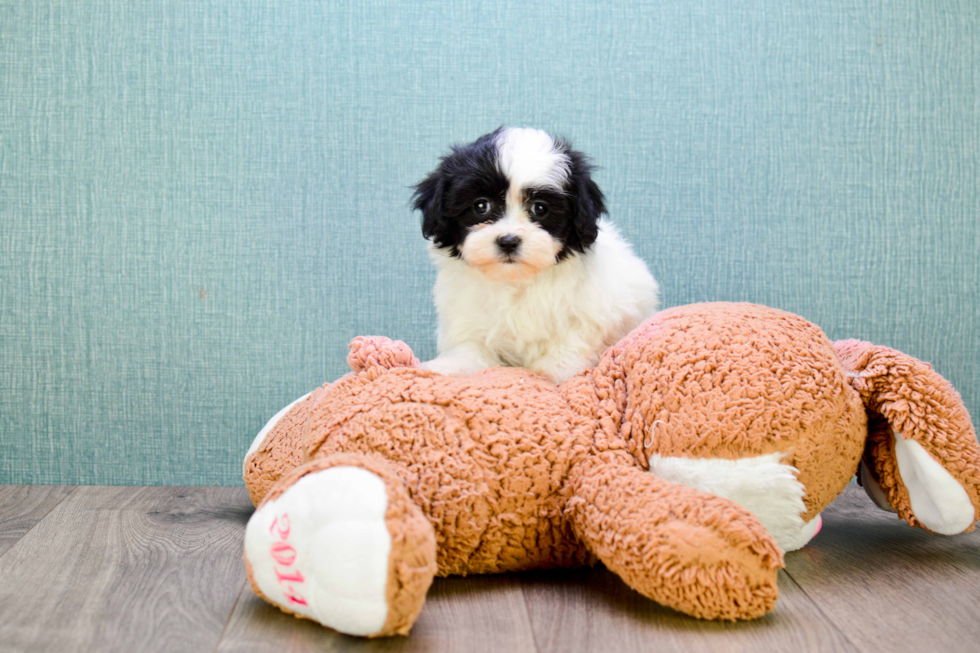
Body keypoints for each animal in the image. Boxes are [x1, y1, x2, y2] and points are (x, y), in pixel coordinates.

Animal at [414, 126, 660, 382]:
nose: (508, 241)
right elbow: (469, 340)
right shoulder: (465, 309)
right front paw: (454, 365)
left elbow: (574, 336)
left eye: (540, 208)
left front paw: (556, 368)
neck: (516, 281)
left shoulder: (594, 309)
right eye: (481, 206)